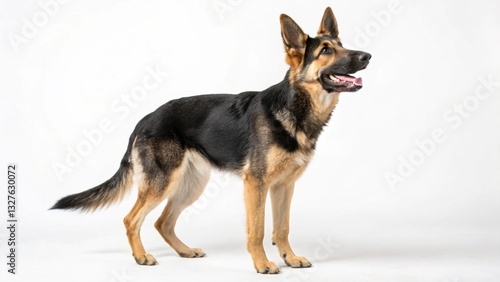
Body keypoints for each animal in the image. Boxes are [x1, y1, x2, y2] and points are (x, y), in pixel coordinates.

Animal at [51, 7, 372, 274]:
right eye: (326, 51)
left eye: (342, 46)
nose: (367, 56)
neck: (296, 106)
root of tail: (144, 120)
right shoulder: (256, 185)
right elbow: (257, 230)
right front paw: (262, 264)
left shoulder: (284, 186)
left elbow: (282, 228)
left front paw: (290, 258)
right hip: (161, 184)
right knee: (132, 219)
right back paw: (141, 256)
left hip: (192, 185)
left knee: (162, 222)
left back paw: (184, 251)